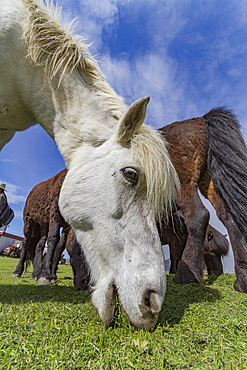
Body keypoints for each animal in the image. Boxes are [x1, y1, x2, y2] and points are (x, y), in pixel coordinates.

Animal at [158, 107, 247, 292]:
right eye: (212, 254)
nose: (218, 272)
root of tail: (201, 120)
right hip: (210, 183)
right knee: (229, 219)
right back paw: (242, 280)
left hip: (181, 185)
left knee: (199, 216)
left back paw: (187, 275)